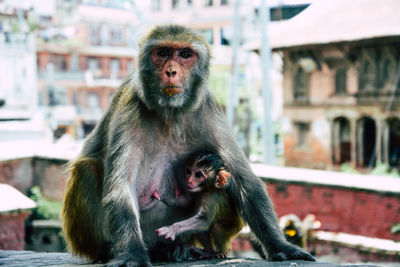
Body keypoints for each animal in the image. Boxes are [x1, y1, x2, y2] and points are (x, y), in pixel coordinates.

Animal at [61, 24, 316, 266]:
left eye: (185, 54)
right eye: (162, 53)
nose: (171, 71)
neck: (169, 113)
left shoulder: (208, 109)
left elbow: (244, 180)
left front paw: (281, 246)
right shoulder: (129, 108)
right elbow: (121, 186)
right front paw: (132, 253)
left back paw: (173, 249)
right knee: (86, 168)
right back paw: (113, 250)